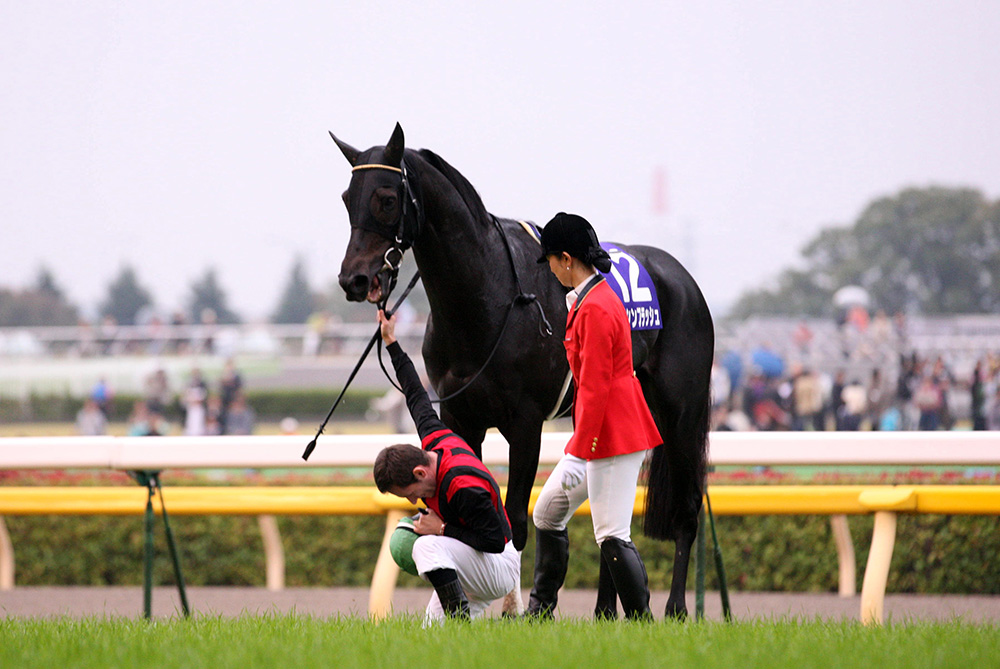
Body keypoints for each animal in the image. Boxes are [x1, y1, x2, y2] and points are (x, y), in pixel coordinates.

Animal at [330, 123, 714, 618]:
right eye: (347, 197)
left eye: (386, 198)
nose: (354, 280)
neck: (489, 297)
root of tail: (684, 279)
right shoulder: (460, 418)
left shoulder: (526, 424)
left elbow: (513, 520)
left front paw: (513, 610)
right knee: (612, 522)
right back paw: (606, 610)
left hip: (680, 415)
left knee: (685, 510)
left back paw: (676, 608)